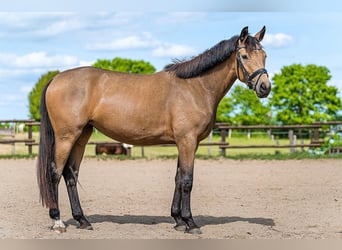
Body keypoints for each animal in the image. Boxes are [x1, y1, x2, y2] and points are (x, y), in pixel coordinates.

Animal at [37, 26, 272, 235]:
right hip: (66, 137)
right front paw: (191, 223)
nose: (265, 87)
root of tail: (56, 78)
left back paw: (82, 220)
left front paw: (178, 220)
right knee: (55, 173)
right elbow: (187, 181)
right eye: (244, 55)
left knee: (71, 174)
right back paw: (58, 222)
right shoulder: (187, 141)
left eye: (265, 55)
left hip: (82, 137)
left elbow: (178, 178)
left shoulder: (186, 143)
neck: (195, 87)